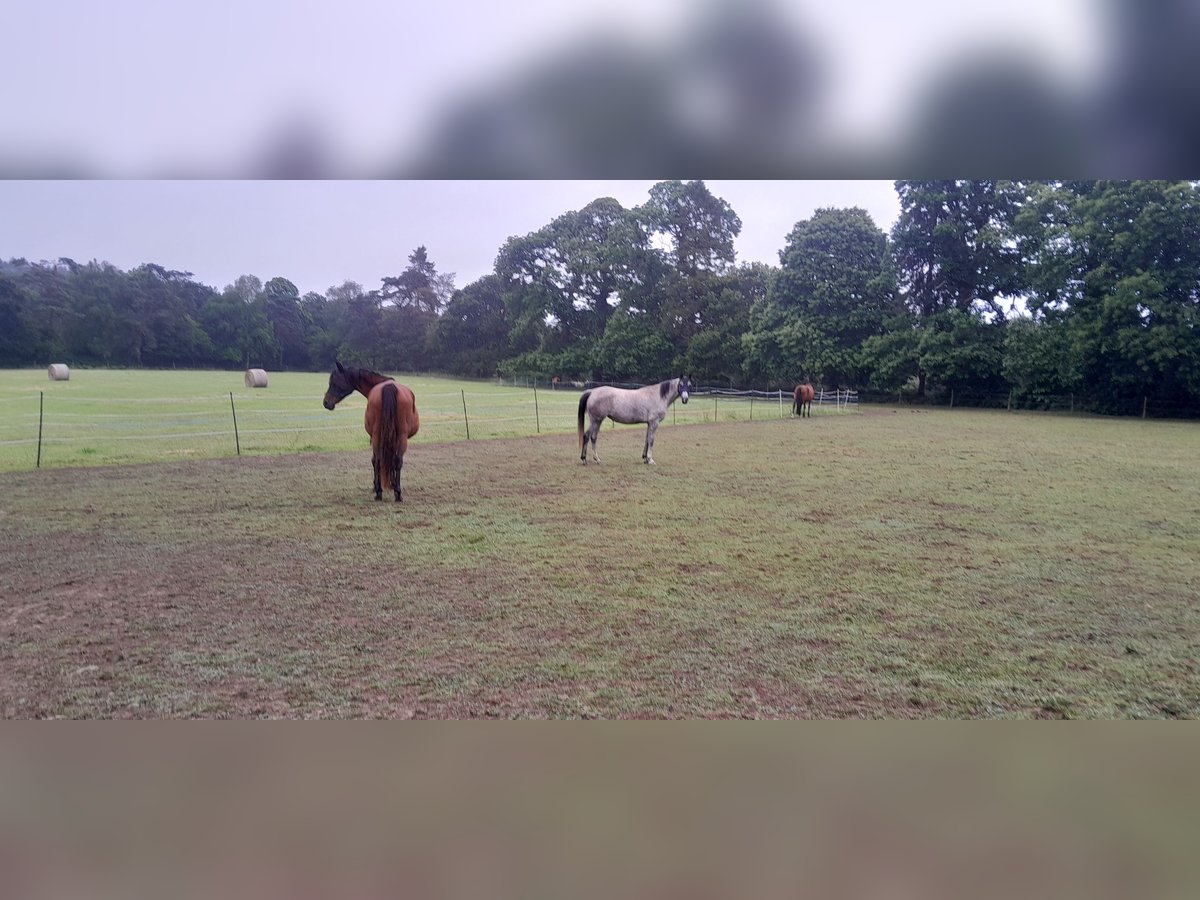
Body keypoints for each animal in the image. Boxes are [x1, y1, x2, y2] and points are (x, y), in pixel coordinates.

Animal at [324, 362, 422, 504]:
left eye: (334, 382)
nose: (326, 402)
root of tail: (388, 387)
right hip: (395, 437)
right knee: (390, 460)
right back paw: (391, 493)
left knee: (380, 460)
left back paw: (384, 492)